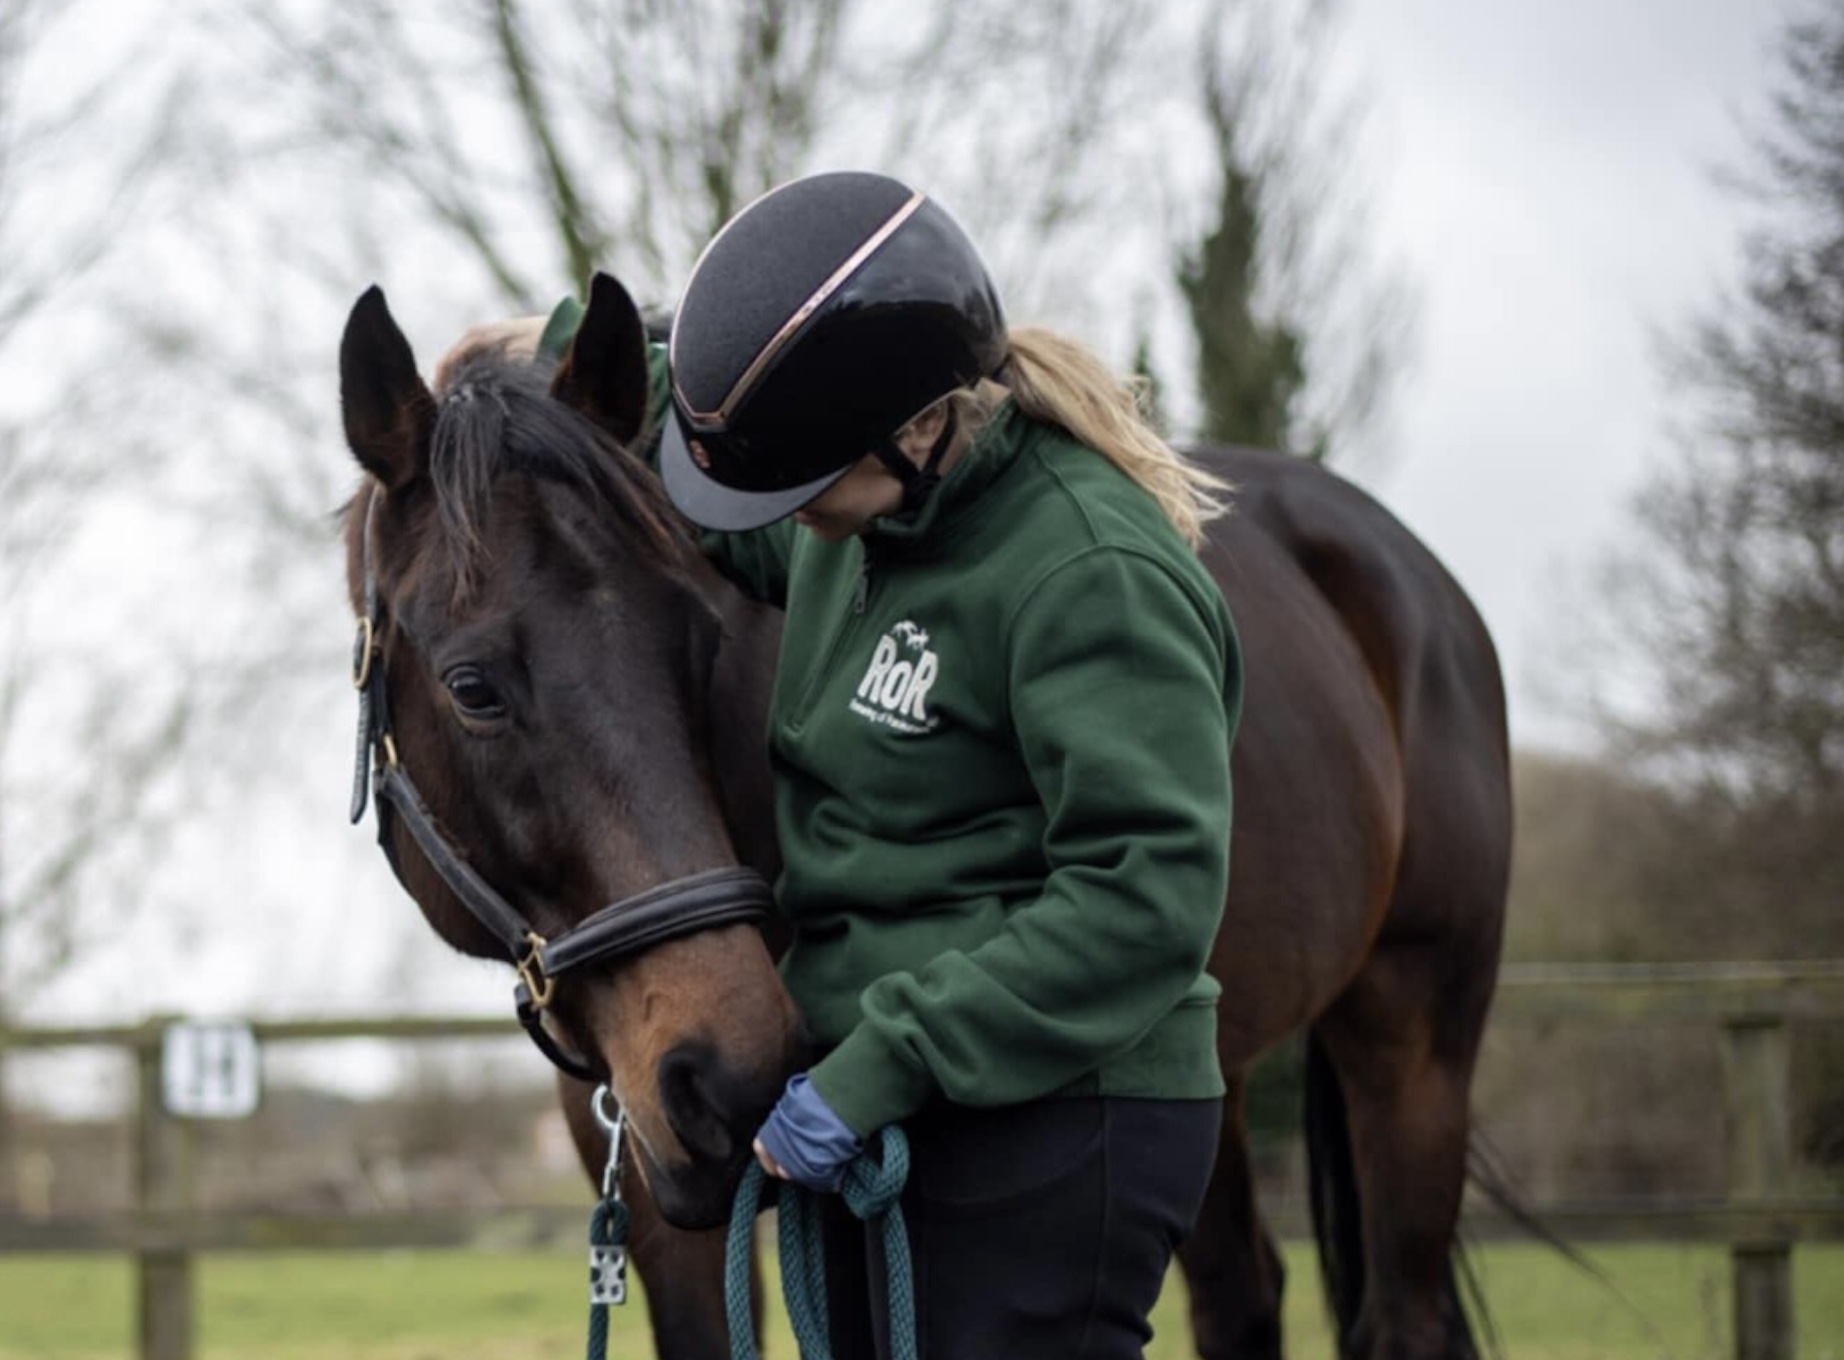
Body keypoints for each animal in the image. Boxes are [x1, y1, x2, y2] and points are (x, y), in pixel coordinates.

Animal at [338, 272, 1510, 1360]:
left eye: (698, 641)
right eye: (473, 687)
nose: (735, 1079)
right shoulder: (642, 1163)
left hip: (1412, 1046)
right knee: (1241, 1293)